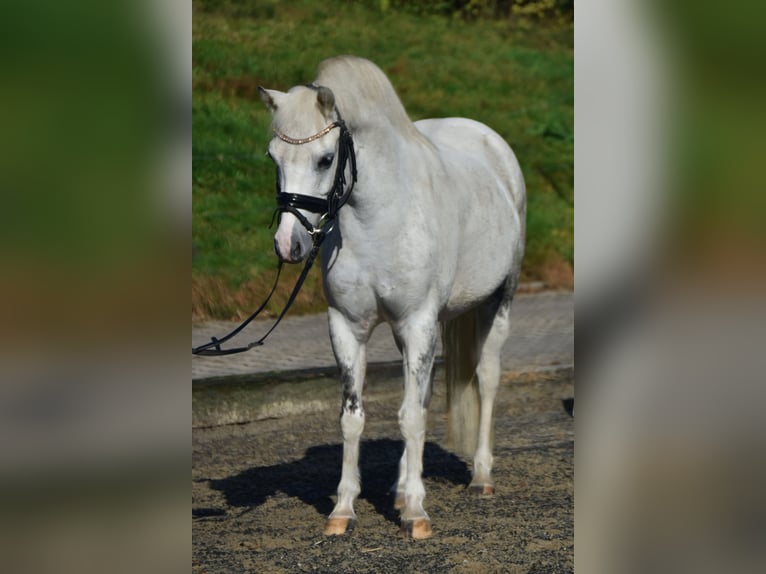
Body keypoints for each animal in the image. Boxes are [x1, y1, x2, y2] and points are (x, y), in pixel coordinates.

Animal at [260, 56, 528, 544]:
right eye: (274, 157)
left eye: (325, 159)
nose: (289, 245)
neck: (378, 219)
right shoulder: (347, 328)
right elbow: (355, 417)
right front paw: (343, 510)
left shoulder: (418, 321)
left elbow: (410, 418)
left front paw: (417, 514)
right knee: (423, 395)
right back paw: (402, 488)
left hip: (498, 302)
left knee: (487, 378)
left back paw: (480, 477)